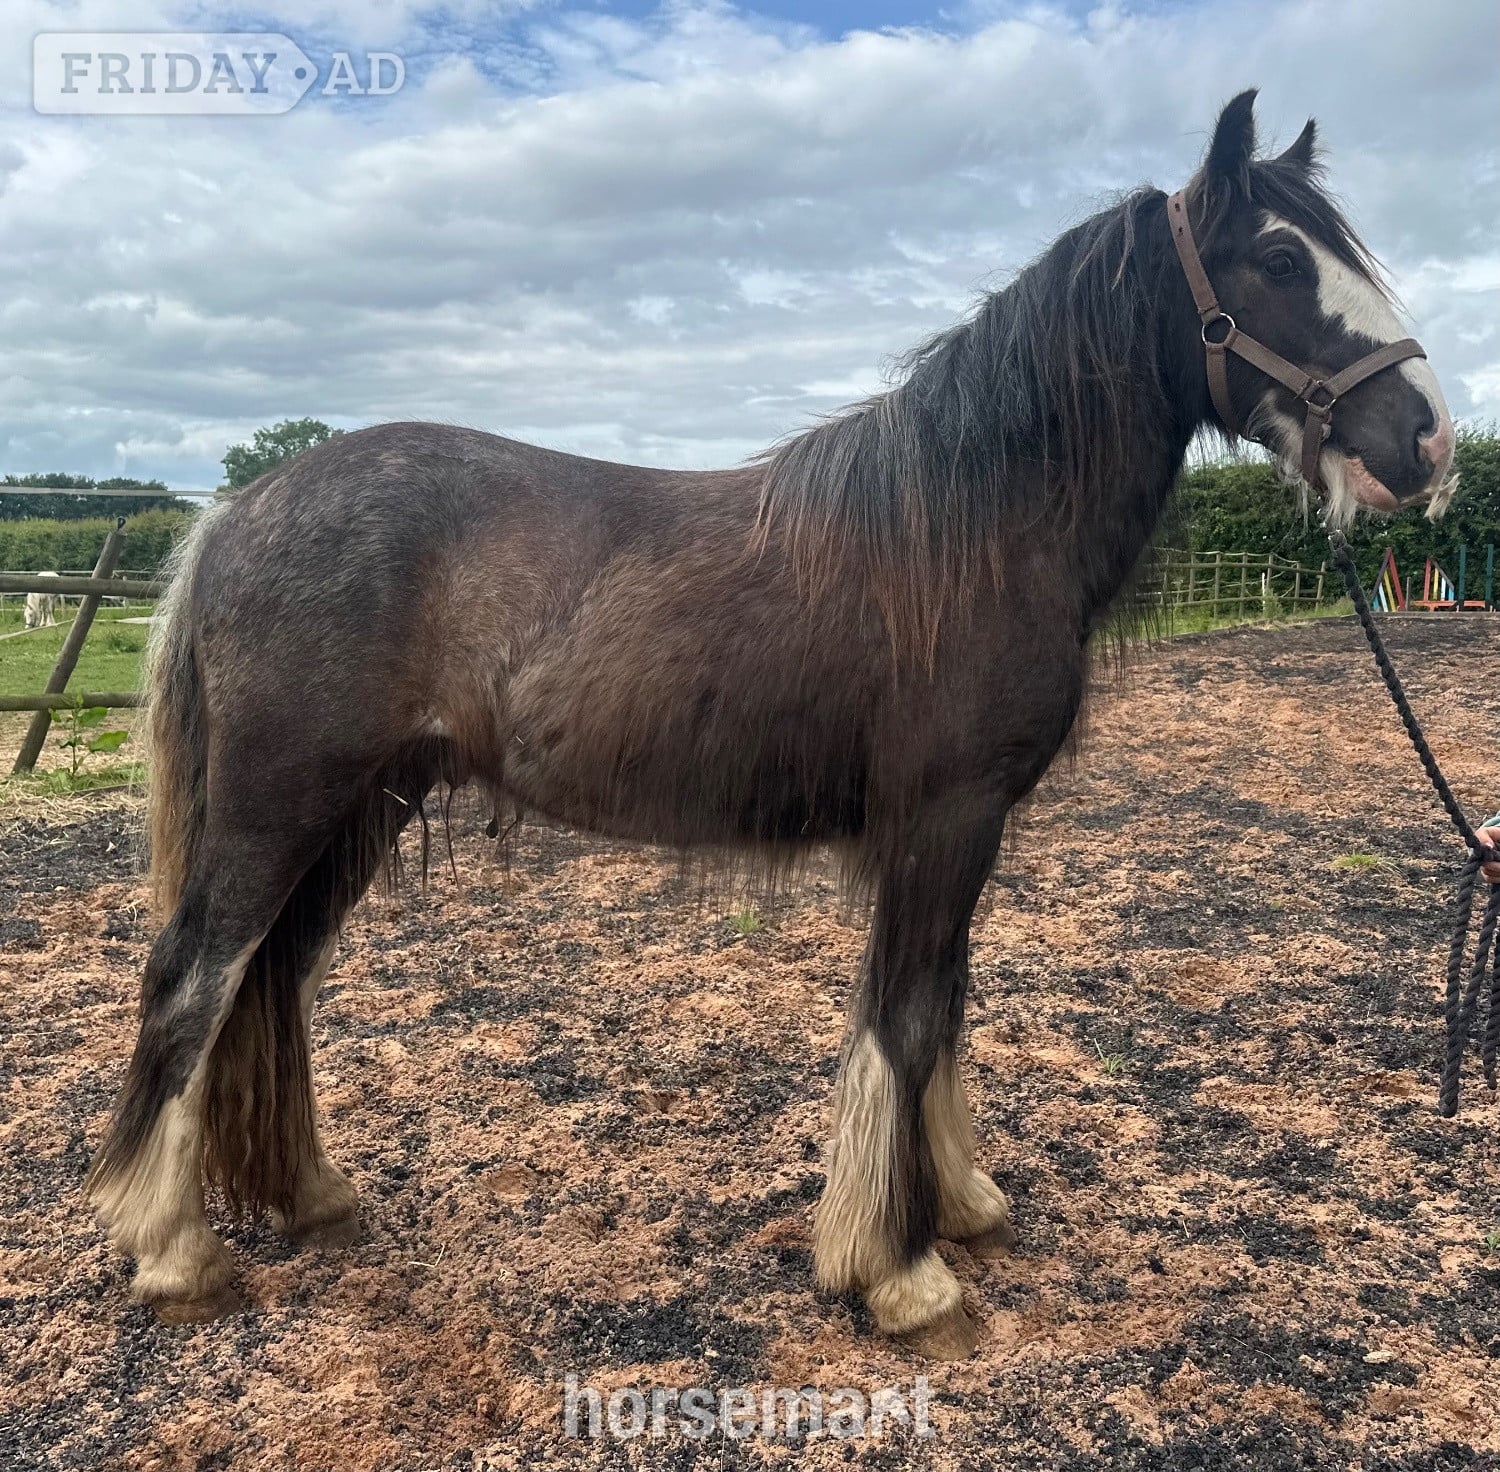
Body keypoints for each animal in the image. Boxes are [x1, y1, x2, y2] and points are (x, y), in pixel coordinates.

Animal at [86, 90, 1456, 1358]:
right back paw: (173, 1252)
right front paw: (901, 1272)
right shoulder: (942, 819)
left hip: (367, 802)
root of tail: (236, 510)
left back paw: (308, 1196)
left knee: (271, 976)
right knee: (193, 976)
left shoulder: (955, 834)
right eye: (1281, 259)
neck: (970, 528)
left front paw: (959, 1203)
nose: (1428, 442)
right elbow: (906, 1018)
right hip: (282, 801)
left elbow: (943, 1003)